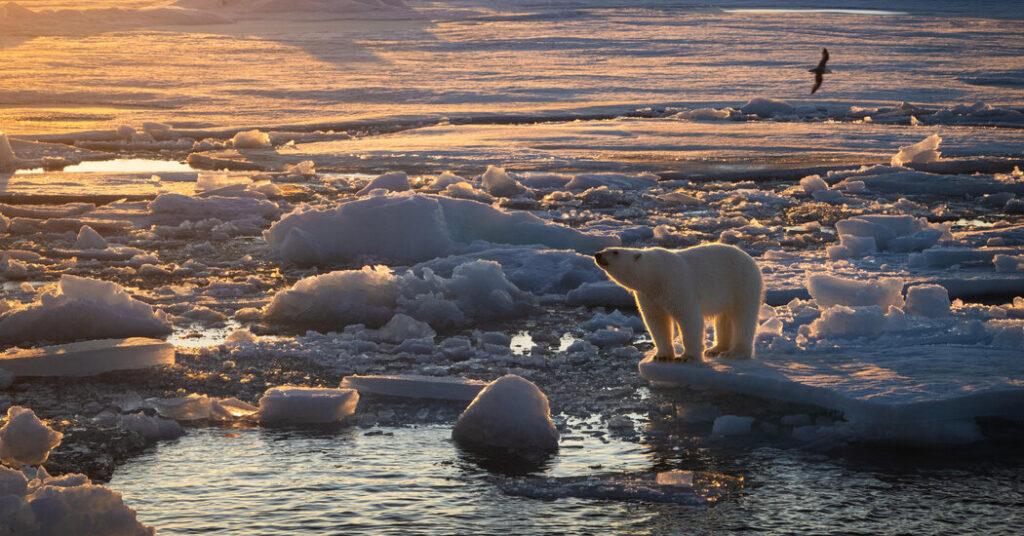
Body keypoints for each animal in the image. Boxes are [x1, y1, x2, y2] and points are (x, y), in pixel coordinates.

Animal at [594, 244, 763, 363]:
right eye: (606, 249)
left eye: (615, 252)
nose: (598, 254)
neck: (656, 275)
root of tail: (750, 259)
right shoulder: (648, 295)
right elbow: (657, 321)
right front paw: (662, 356)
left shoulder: (675, 284)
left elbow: (688, 317)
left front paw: (687, 357)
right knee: (724, 319)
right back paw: (715, 349)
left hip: (742, 284)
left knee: (743, 318)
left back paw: (734, 353)